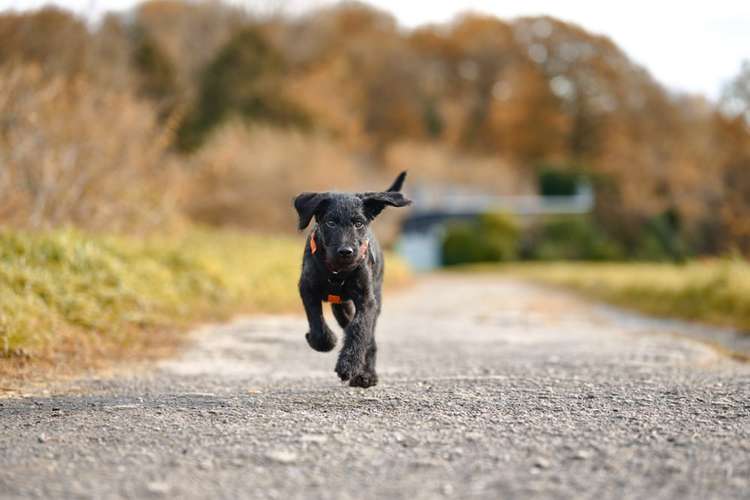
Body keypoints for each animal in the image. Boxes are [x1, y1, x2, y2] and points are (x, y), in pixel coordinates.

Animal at [296, 171, 414, 386]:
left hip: (375, 301)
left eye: (358, 223)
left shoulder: (367, 301)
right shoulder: (307, 289)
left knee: (369, 338)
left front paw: (349, 365)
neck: (337, 271)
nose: (346, 251)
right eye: (330, 222)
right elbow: (317, 323)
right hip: (341, 307)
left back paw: (366, 375)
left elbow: (359, 330)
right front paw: (327, 341)